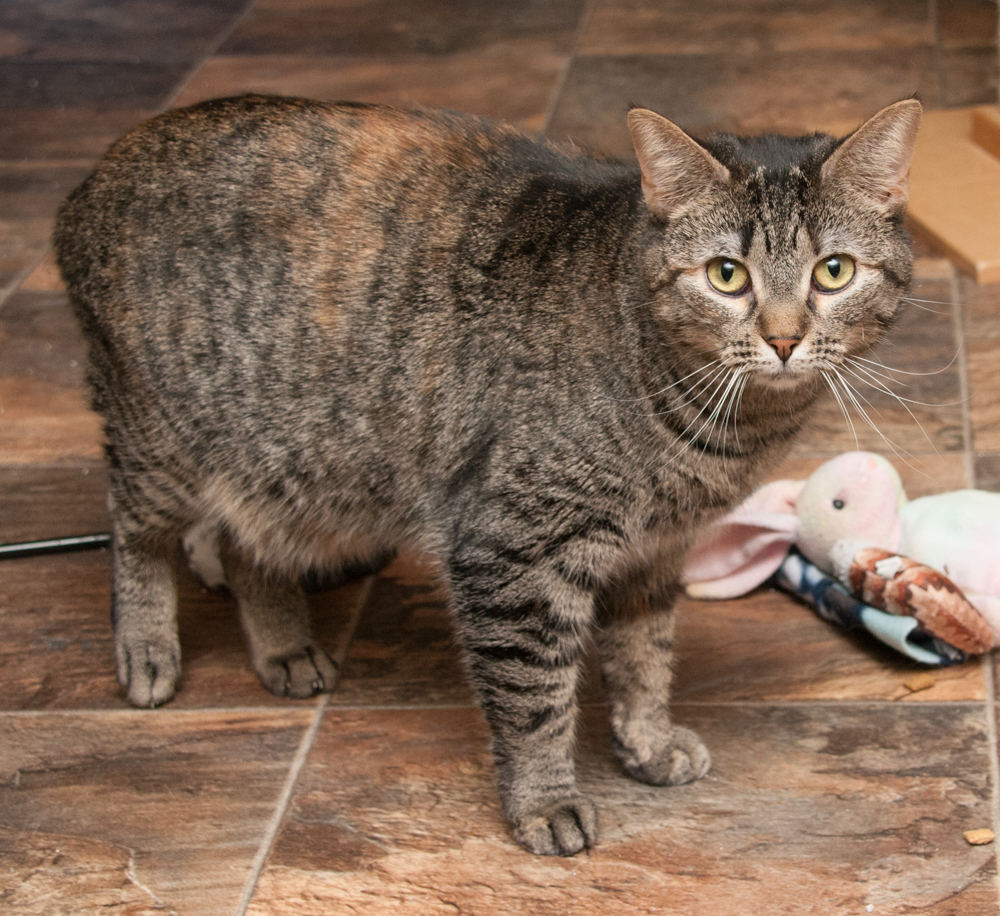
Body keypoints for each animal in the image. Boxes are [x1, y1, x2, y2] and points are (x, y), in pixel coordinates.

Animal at [50, 96, 916, 856]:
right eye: (727, 275)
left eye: (834, 272)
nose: (784, 339)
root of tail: (90, 179)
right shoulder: (512, 554)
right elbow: (536, 700)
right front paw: (545, 802)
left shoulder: (654, 552)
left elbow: (644, 659)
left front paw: (645, 743)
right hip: (165, 443)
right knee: (133, 529)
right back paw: (147, 647)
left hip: (286, 466)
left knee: (245, 546)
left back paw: (283, 647)